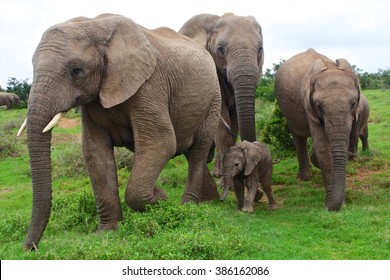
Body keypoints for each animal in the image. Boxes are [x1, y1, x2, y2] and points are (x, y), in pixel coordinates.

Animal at [19, 13, 221, 249]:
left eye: (76, 71)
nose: (29, 248)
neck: (95, 25)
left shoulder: (150, 84)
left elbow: (161, 141)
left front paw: (161, 198)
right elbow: (95, 152)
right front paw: (107, 232)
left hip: (213, 101)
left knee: (198, 151)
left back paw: (189, 205)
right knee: (192, 153)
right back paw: (210, 201)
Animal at [274, 48, 362, 210]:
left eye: (353, 104)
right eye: (318, 106)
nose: (328, 207)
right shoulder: (308, 104)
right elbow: (323, 148)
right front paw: (334, 205)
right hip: (286, 109)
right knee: (297, 135)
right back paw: (305, 177)